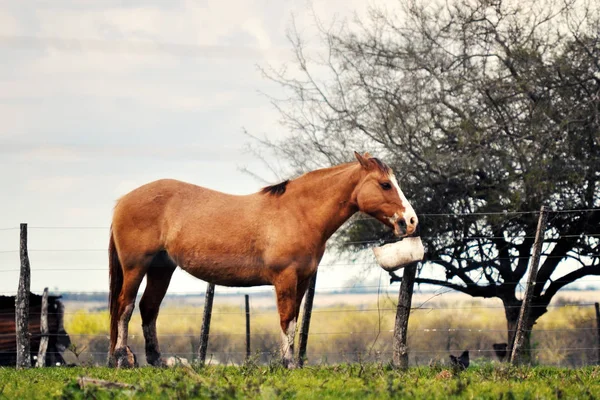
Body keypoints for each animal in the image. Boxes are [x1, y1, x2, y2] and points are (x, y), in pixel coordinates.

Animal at [108, 152, 418, 368]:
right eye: (385, 185)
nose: (411, 221)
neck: (299, 212)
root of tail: (122, 200)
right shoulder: (285, 278)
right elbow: (286, 319)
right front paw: (288, 363)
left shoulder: (302, 280)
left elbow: (294, 320)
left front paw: (291, 362)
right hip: (136, 267)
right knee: (125, 307)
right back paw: (123, 358)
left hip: (162, 268)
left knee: (148, 308)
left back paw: (157, 361)